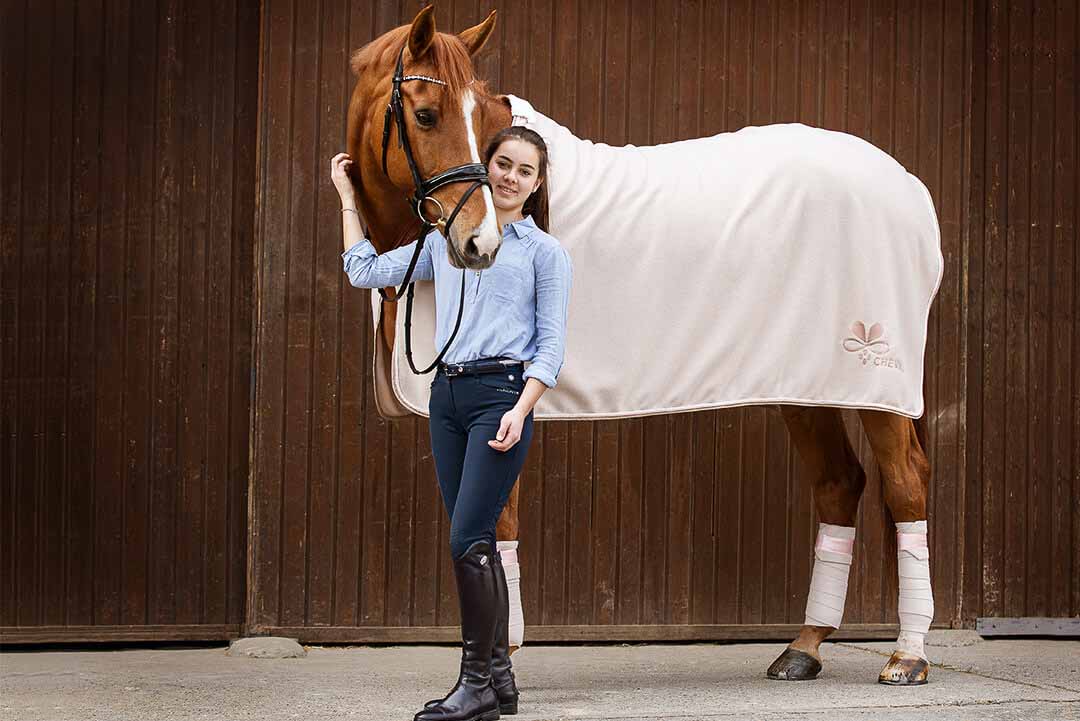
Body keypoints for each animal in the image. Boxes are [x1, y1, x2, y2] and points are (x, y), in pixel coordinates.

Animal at [345, 6, 939, 687]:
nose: (480, 244)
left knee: (905, 485)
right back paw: (805, 647)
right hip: (805, 385)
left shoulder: (506, 402)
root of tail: (909, 189)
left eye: (488, 125)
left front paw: (502, 660)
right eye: (425, 116)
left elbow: (496, 519)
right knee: (840, 483)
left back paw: (907, 655)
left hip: (877, 389)